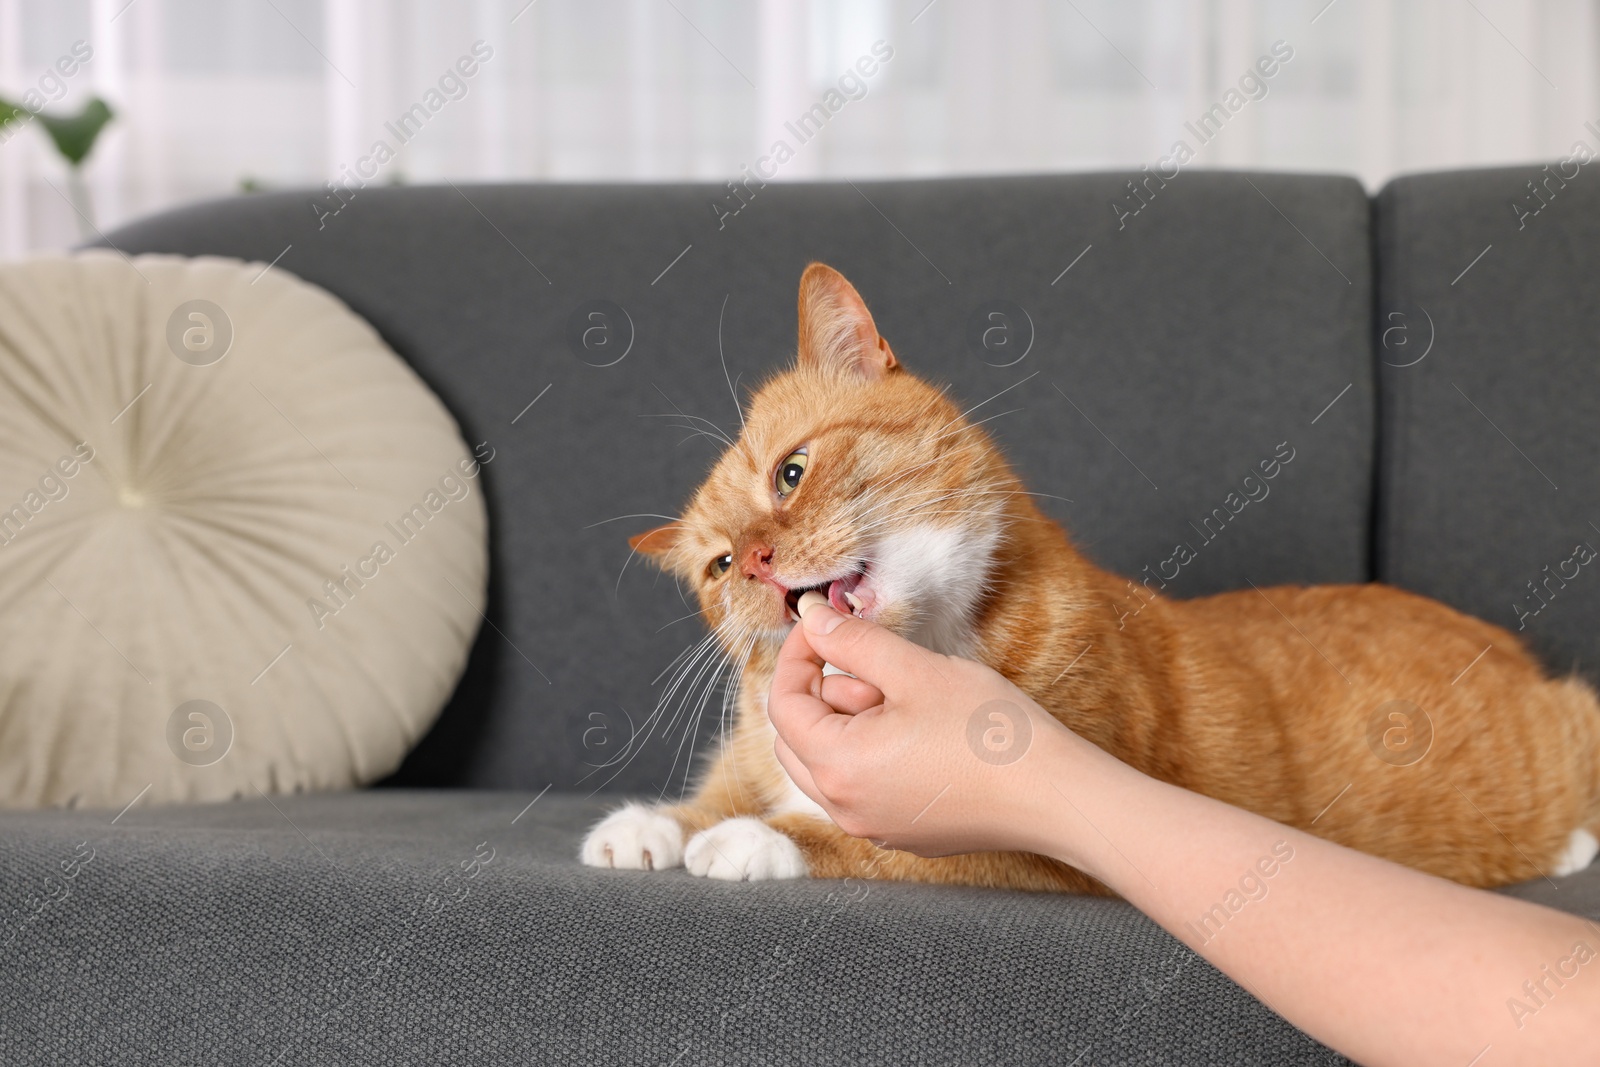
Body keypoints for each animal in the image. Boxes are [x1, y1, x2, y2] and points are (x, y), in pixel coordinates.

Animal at [585, 265, 1600, 895]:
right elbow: (716, 792)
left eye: (791, 473)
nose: (758, 562)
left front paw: (751, 839)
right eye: (719, 565)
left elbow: (870, 841)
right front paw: (653, 825)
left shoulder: (1047, 844)